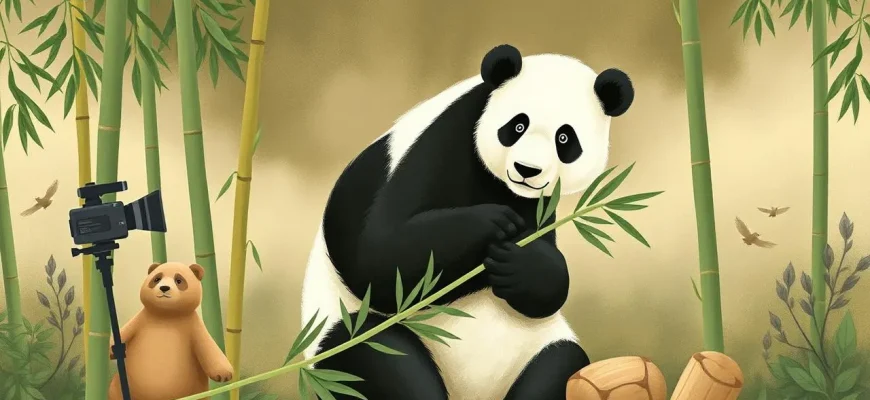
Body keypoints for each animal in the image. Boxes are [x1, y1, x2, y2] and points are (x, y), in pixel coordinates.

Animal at [299, 44, 634, 400]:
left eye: (565, 138)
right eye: (518, 126)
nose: (527, 170)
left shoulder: (540, 201)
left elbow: (544, 290)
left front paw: (522, 262)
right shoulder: (444, 142)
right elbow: (378, 257)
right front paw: (494, 223)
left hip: (538, 348)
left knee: (561, 363)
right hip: (345, 342)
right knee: (378, 354)